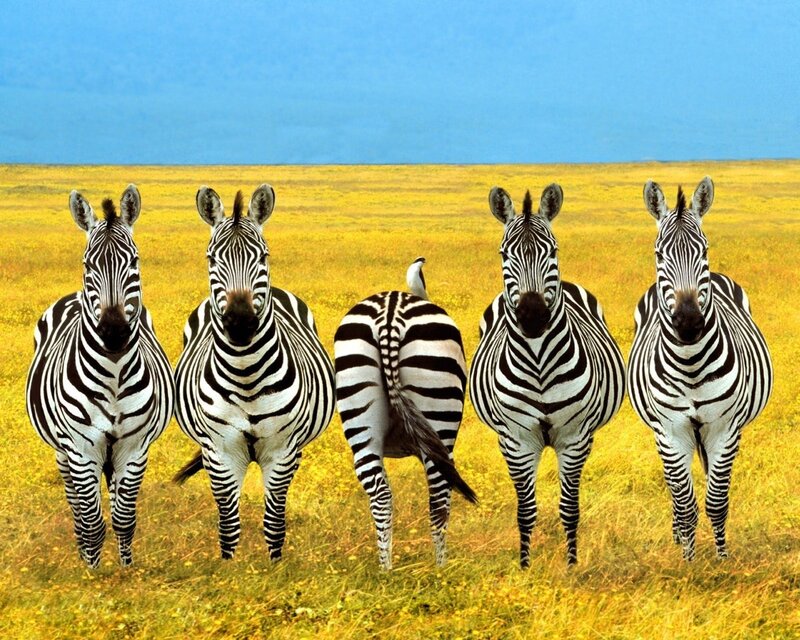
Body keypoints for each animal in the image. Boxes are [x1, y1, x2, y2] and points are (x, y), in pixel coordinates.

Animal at [25, 185, 174, 568]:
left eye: (134, 262)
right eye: (88, 265)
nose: (113, 331)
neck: (114, 374)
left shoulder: (134, 447)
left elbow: (124, 516)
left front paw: (126, 569)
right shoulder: (81, 447)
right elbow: (91, 520)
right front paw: (91, 572)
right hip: (63, 452)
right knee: (77, 506)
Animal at [173, 184, 335, 561]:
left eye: (263, 256)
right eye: (211, 259)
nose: (241, 322)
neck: (246, 376)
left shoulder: (282, 451)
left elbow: (274, 521)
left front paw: (275, 567)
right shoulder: (220, 452)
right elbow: (228, 524)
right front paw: (228, 568)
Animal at [333, 257, 477, 569]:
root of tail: (390, 312)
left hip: (359, 410)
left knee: (381, 495)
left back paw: (386, 570)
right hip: (440, 416)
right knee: (439, 497)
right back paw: (440, 569)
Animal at [469, 184, 625, 568]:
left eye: (553, 251)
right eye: (504, 254)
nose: (533, 315)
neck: (539, 363)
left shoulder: (575, 438)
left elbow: (569, 508)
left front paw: (571, 565)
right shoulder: (516, 440)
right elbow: (525, 510)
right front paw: (525, 566)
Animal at [628, 177, 773, 561]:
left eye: (704, 250)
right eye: (659, 254)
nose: (689, 322)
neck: (691, 363)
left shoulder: (725, 428)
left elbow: (716, 501)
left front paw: (721, 560)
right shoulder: (670, 430)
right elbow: (685, 503)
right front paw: (688, 561)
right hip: (663, 434)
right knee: (674, 489)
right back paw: (678, 536)